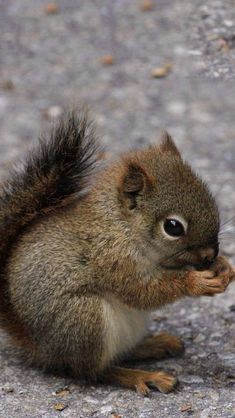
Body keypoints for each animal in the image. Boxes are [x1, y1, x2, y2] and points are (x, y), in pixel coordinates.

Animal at [0, 112, 235, 396]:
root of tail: (39, 347)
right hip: (83, 319)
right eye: (173, 227)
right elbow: (141, 291)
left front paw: (224, 267)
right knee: (93, 371)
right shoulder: (112, 258)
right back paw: (140, 376)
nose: (211, 254)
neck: (121, 225)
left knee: (119, 354)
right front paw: (196, 282)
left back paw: (153, 344)